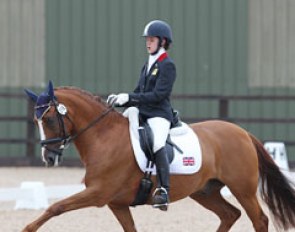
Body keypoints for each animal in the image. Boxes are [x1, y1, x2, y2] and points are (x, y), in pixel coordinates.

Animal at [23, 81, 295, 230]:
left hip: (242, 188)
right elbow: (131, 229)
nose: (49, 158)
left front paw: (27, 228)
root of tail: (243, 132)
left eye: (48, 119)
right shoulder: (116, 203)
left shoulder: (99, 193)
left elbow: (56, 207)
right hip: (205, 191)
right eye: (36, 121)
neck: (104, 136)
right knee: (230, 214)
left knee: (259, 220)